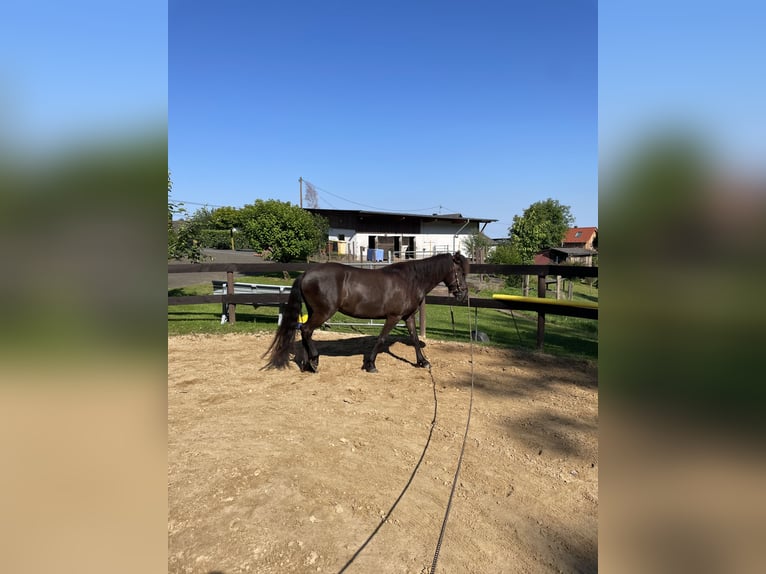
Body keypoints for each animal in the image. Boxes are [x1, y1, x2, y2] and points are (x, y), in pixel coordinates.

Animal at [264, 252, 472, 374]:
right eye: (461, 272)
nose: (463, 295)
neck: (410, 280)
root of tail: (306, 274)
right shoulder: (394, 317)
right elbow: (380, 339)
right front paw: (370, 364)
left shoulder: (408, 317)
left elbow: (413, 338)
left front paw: (423, 362)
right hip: (323, 312)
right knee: (306, 330)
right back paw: (313, 362)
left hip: (314, 311)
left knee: (306, 332)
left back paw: (308, 364)